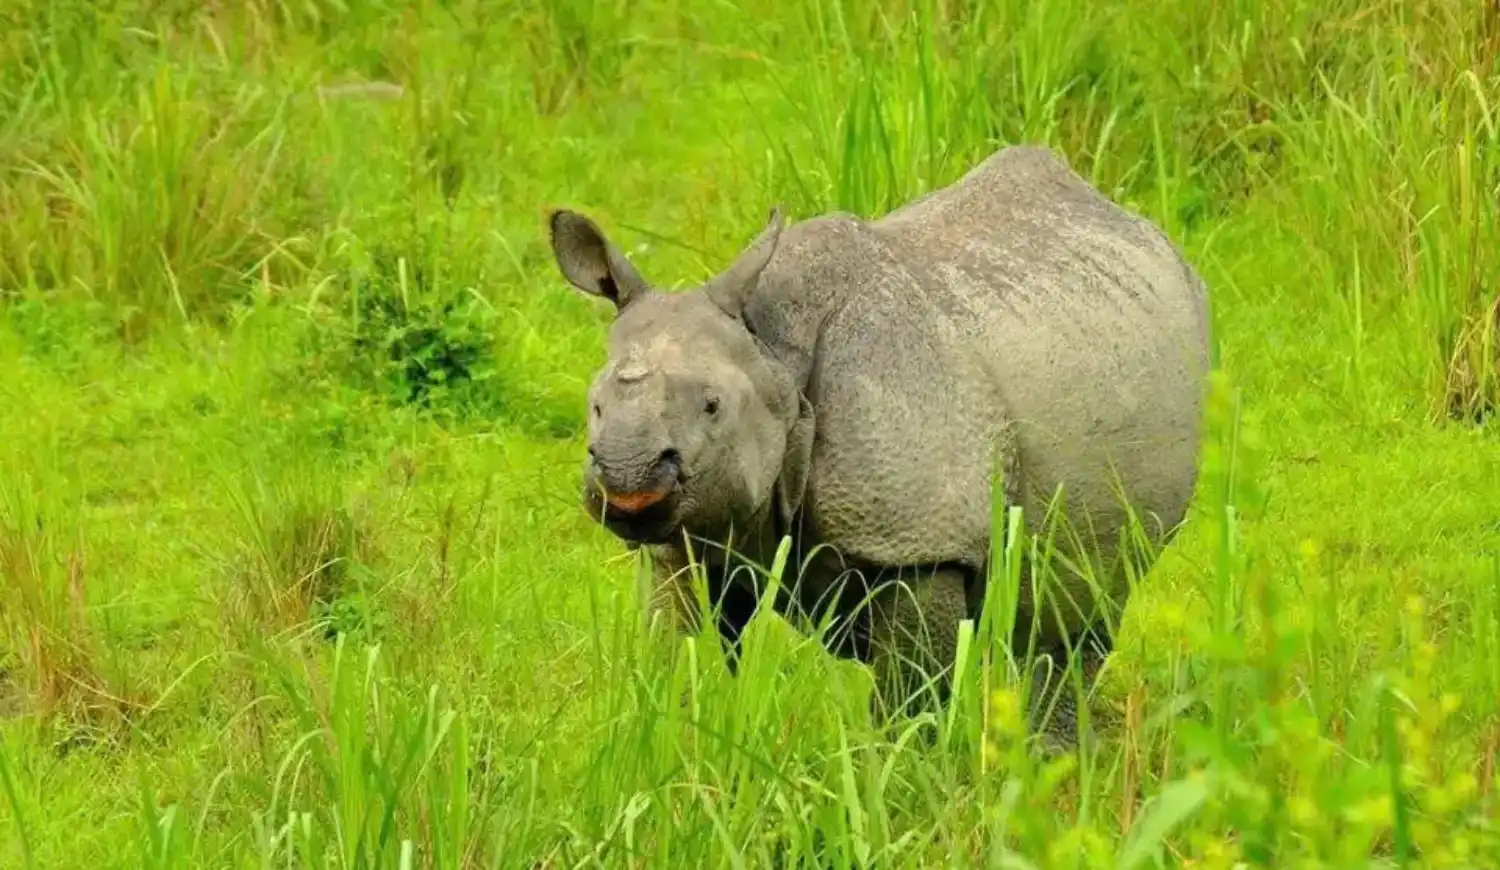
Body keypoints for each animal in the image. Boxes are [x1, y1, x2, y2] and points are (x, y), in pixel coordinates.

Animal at [547, 144, 1210, 742]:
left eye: (713, 407)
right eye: (595, 407)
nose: (629, 482)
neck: (774, 351)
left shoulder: (920, 545)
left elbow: (909, 698)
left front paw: (899, 781)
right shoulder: (683, 537)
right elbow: (681, 660)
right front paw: (679, 752)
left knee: (1075, 614)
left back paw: (1055, 760)